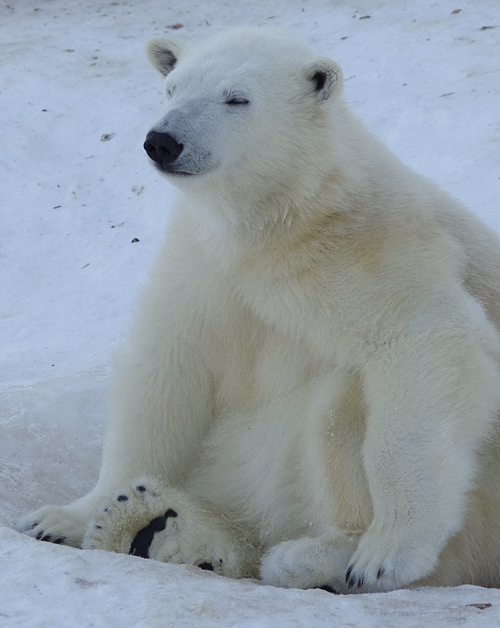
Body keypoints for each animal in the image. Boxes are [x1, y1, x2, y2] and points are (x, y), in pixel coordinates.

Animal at [16, 25, 500, 592]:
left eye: (236, 98)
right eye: (172, 89)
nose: (162, 141)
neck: (275, 223)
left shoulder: (374, 249)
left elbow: (424, 340)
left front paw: (388, 551)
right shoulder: (205, 267)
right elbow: (166, 372)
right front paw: (66, 516)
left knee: (343, 403)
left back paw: (316, 556)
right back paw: (149, 520)